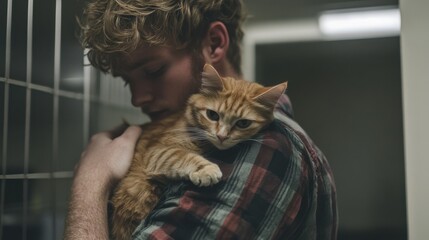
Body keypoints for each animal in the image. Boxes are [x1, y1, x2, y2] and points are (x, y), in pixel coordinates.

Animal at [110, 64, 286, 239]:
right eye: (212, 115)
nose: (222, 136)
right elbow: (183, 156)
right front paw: (206, 169)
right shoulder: (157, 151)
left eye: (243, 123)